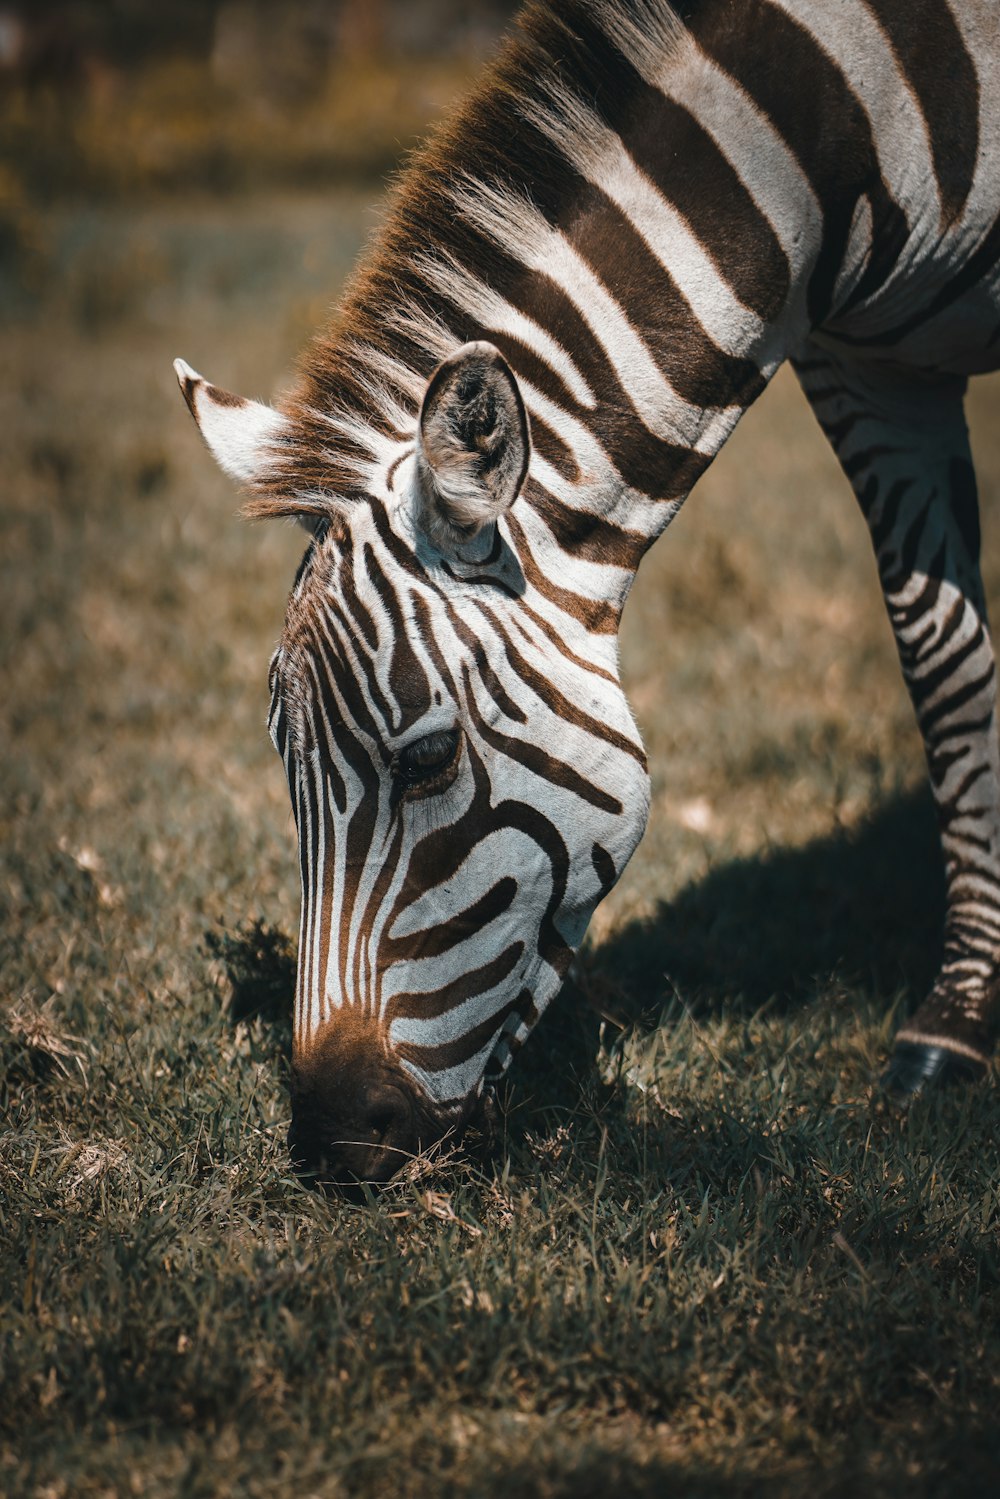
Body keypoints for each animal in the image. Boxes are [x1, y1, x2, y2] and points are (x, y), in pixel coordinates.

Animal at [177, 0, 1000, 1181]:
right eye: (282, 759)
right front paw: (959, 1021)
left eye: (427, 758)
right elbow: (946, 661)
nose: (333, 1141)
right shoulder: (866, 364)